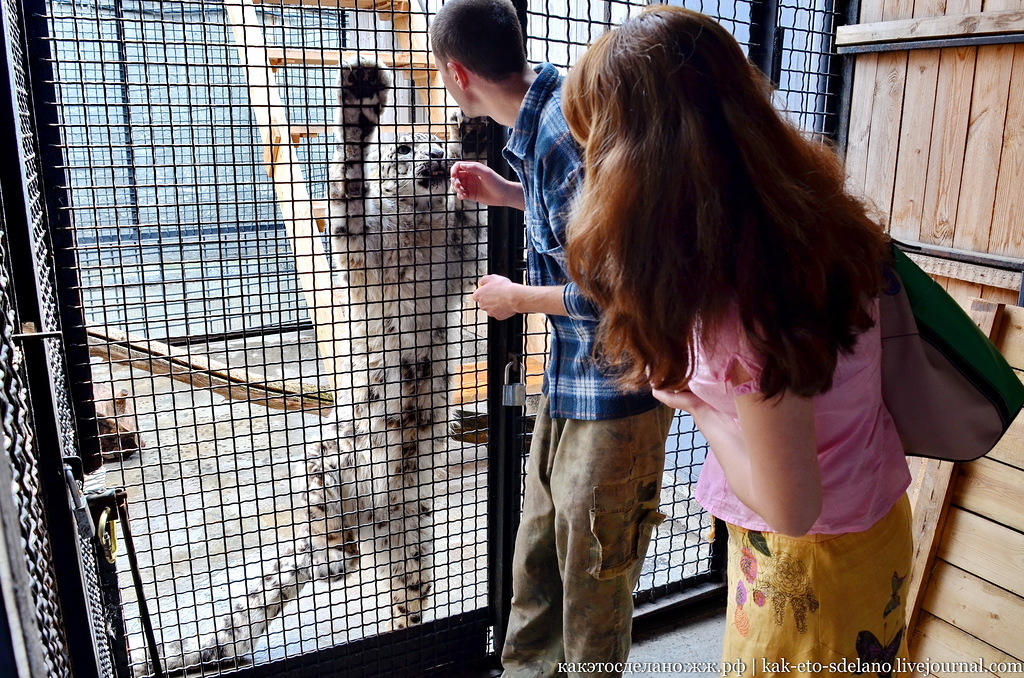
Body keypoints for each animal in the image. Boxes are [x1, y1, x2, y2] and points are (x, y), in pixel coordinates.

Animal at [153, 62, 485, 675]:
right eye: (404, 146)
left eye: (435, 144)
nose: (437, 157)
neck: (421, 233)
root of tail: (376, 518)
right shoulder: (360, 248)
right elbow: (348, 193)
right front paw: (360, 102)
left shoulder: (462, 263)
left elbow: (472, 230)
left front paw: (471, 140)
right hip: (325, 465)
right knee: (328, 541)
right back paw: (334, 549)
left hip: (415, 544)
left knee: (405, 596)